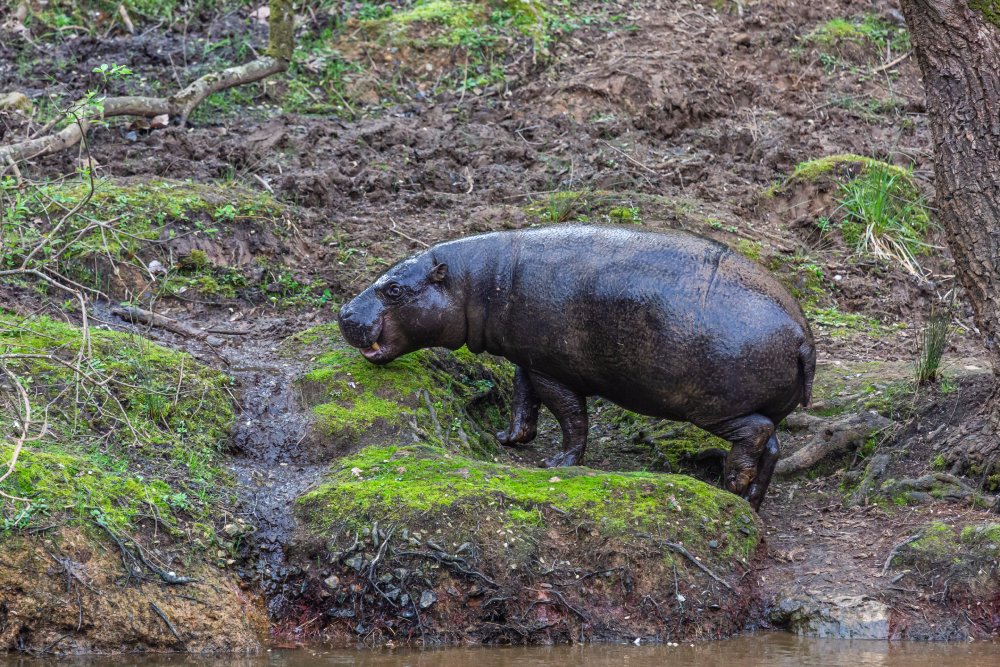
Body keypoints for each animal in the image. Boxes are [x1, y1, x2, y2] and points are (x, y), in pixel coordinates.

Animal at [338, 225, 815, 510]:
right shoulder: (528, 358)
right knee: (773, 445)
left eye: (395, 289)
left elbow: (569, 415)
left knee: (756, 435)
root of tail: (802, 334)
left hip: (711, 407)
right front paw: (508, 439)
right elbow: (522, 398)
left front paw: (559, 463)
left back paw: (731, 483)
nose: (344, 312)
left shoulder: (552, 370)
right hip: (753, 405)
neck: (477, 281)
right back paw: (748, 500)